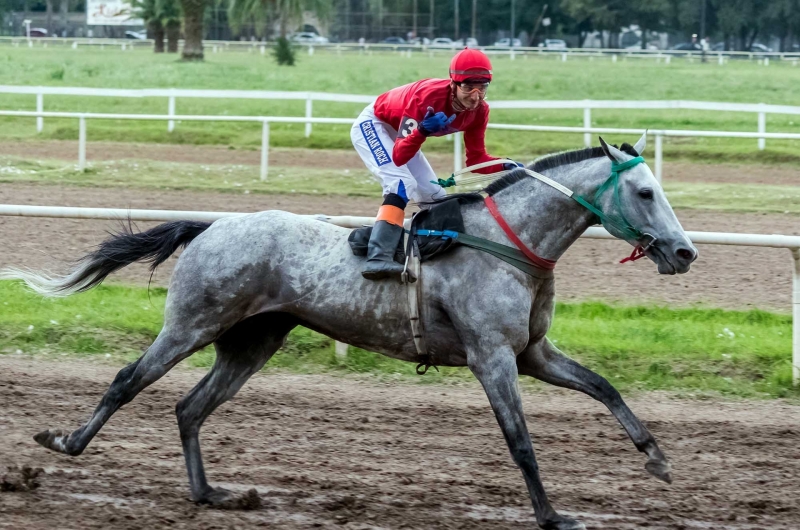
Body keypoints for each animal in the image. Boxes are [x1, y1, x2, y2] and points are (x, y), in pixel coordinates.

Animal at [3, 136, 692, 528]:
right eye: (645, 191)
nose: (684, 253)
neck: (509, 243)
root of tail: (212, 225)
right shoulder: (492, 356)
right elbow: (519, 440)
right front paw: (551, 516)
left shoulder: (532, 353)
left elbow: (603, 386)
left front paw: (657, 459)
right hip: (193, 322)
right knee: (128, 380)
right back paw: (64, 443)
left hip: (253, 342)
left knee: (190, 407)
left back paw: (211, 495)